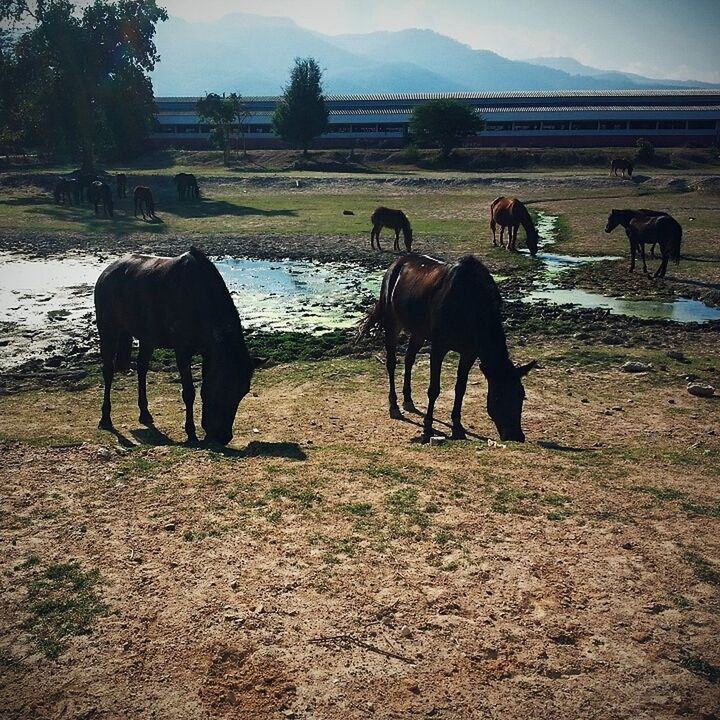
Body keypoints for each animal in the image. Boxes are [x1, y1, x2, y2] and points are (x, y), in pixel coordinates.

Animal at [94, 246, 264, 444]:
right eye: (224, 388)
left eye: (243, 392)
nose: (223, 437)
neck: (198, 296)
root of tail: (106, 272)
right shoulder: (182, 350)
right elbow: (188, 392)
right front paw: (191, 432)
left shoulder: (208, 353)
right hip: (108, 329)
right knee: (108, 371)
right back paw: (105, 418)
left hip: (147, 337)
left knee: (142, 369)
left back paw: (144, 413)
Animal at [358, 253, 536, 444]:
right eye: (497, 396)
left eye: (521, 395)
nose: (515, 435)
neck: (470, 305)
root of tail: (396, 264)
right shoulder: (439, 347)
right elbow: (434, 389)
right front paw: (428, 426)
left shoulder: (469, 353)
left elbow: (461, 388)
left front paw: (457, 426)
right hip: (392, 322)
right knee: (391, 363)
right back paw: (394, 406)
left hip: (418, 331)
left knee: (409, 359)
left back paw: (408, 400)